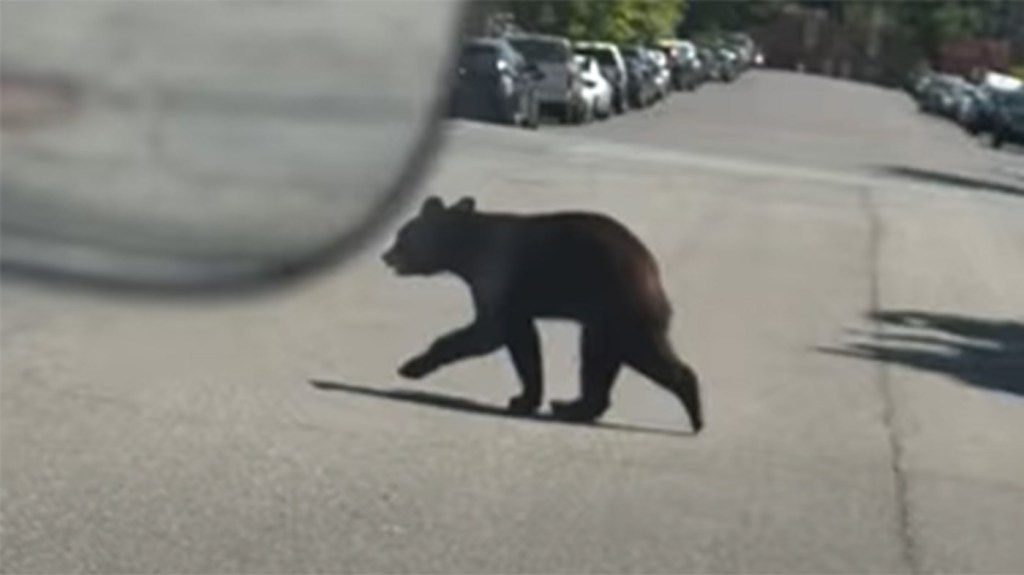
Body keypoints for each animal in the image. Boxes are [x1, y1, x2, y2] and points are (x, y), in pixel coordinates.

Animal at [382, 195, 703, 433]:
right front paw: (525, 398)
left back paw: (695, 411)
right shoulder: (514, 303)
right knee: (598, 360)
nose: (386, 255)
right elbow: (522, 341)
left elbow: (491, 332)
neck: (468, 252)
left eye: (402, 235)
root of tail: (652, 271)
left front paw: (411, 366)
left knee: (638, 352)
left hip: (620, 305)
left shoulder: (498, 278)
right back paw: (572, 406)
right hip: (603, 320)